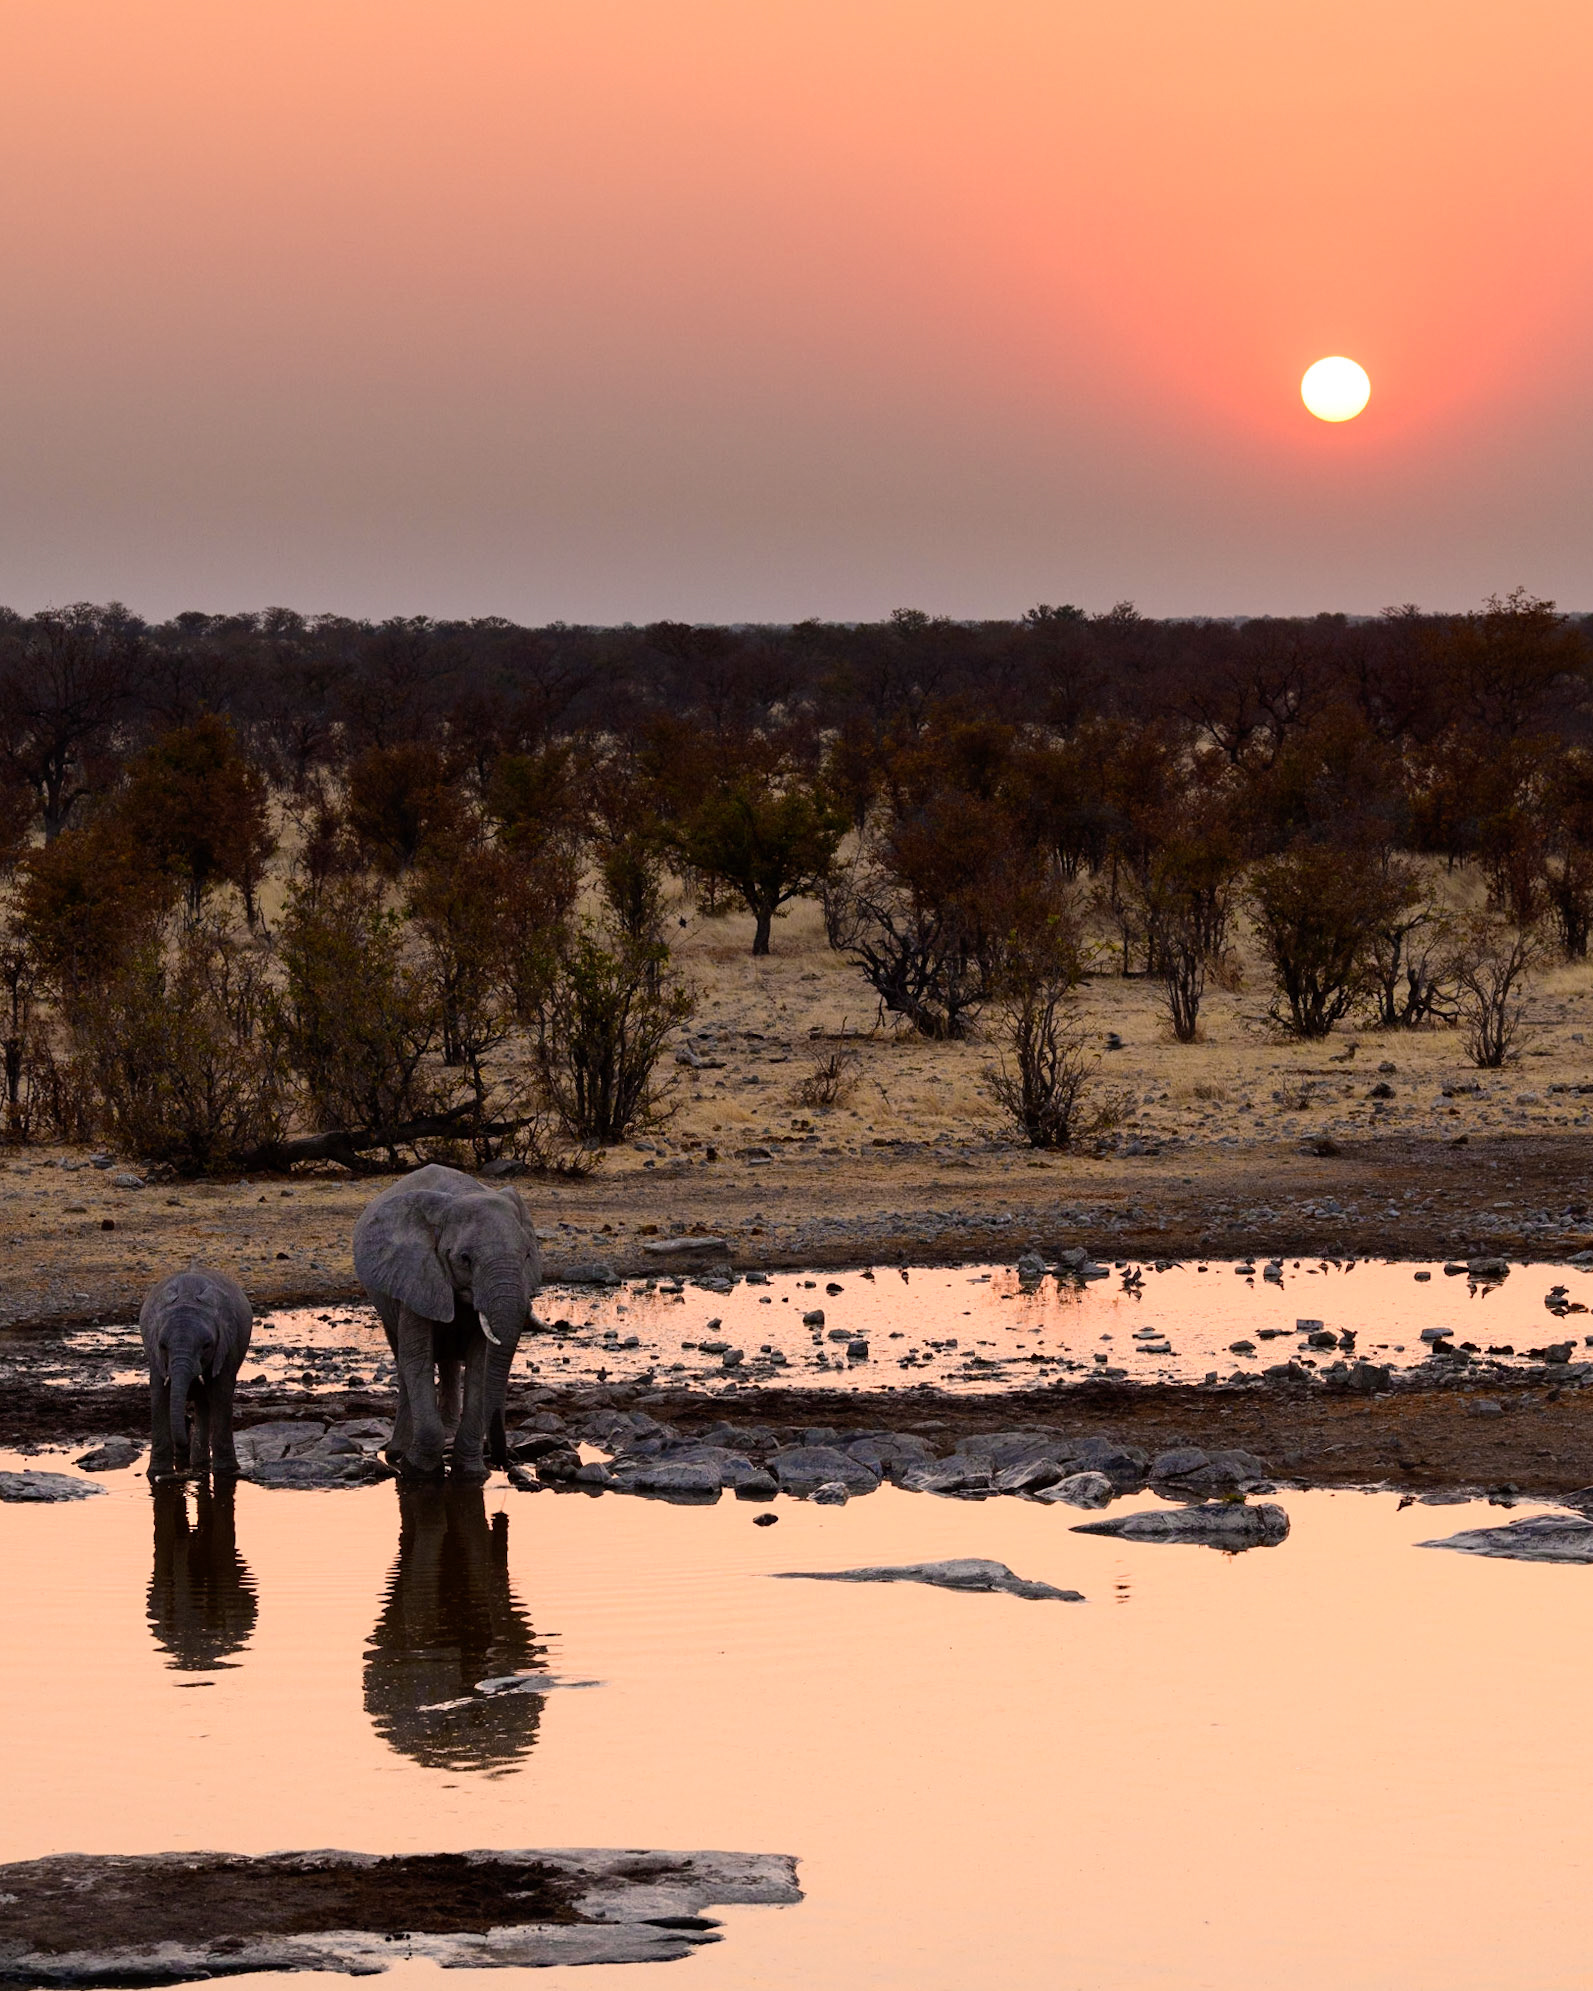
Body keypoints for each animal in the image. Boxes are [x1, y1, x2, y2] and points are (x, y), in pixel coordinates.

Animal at [140, 1268, 253, 1479]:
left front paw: (226, 1472)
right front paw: (157, 1473)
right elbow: (159, 1395)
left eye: (206, 1346)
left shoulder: (227, 1348)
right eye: (163, 1346)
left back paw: (200, 1463)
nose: (186, 1422)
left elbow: (221, 1394)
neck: (187, 1298)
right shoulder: (154, 1353)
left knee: (204, 1401)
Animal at [352, 1163, 542, 1479]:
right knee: (403, 1360)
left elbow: (480, 1362)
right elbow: (418, 1357)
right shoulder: (414, 1272)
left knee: (450, 1362)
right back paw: (397, 1452)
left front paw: (472, 1473)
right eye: (464, 1258)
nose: (505, 1462)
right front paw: (418, 1469)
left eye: (528, 1255)